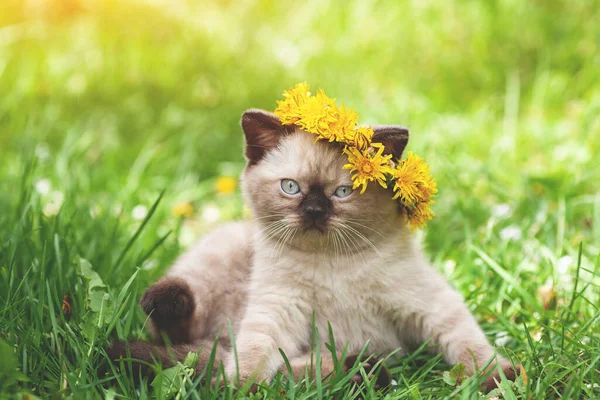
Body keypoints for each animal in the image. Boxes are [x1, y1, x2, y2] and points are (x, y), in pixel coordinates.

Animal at [110, 108, 516, 390]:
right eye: (291, 187)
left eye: (343, 192)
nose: (315, 211)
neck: (334, 264)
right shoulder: (276, 311)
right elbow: (253, 357)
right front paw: (239, 389)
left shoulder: (427, 304)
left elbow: (469, 345)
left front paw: (501, 380)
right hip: (217, 257)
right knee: (180, 336)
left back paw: (361, 373)